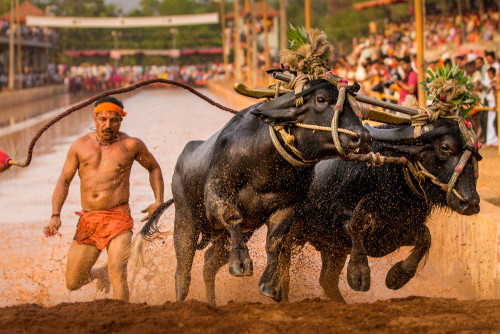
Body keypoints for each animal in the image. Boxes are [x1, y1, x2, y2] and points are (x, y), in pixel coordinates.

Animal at [137, 79, 372, 306]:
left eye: (353, 103)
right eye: (321, 99)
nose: (362, 136)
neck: (266, 166)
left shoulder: (287, 206)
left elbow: (275, 241)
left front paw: (270, 283)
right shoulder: (216, 195)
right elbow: (231, 216)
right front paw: (241, 262)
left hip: (231, 235)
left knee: (209, 264)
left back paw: (211, 304)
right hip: (185, 220)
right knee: (183, 271)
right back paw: (180, 302)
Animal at [282, 118, 480, 302]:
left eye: (476, 154)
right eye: (445, 147)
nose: (471, 202)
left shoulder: (393, 232)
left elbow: (425, 238)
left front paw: (398, 275)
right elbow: (355, 225)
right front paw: (359, 272)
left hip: (332, 248)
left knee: (327, 281)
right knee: (283, 273)